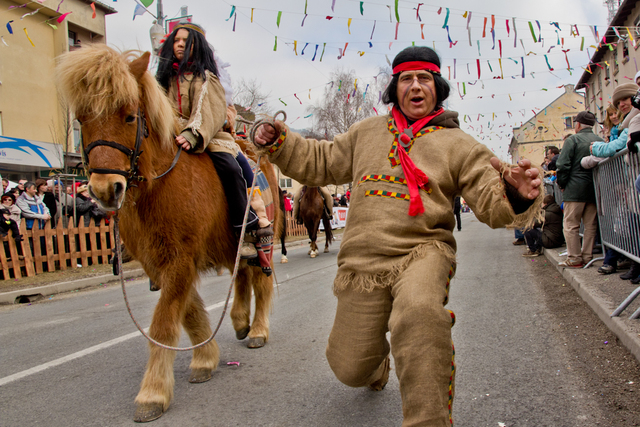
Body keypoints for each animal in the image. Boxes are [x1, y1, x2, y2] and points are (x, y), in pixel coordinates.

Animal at [56, 47, 282, 424]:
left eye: (129, 117)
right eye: (83, 118)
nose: (105, 189)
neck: (160, 185)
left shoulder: (180, 259)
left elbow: (163, 322)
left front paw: (153, 393)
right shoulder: (160, 263)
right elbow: (186, 311)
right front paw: (205, 357)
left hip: (263, 238)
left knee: (261, 282)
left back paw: (259, 331)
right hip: (232, 245)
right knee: (241, 276)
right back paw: (239, 322)